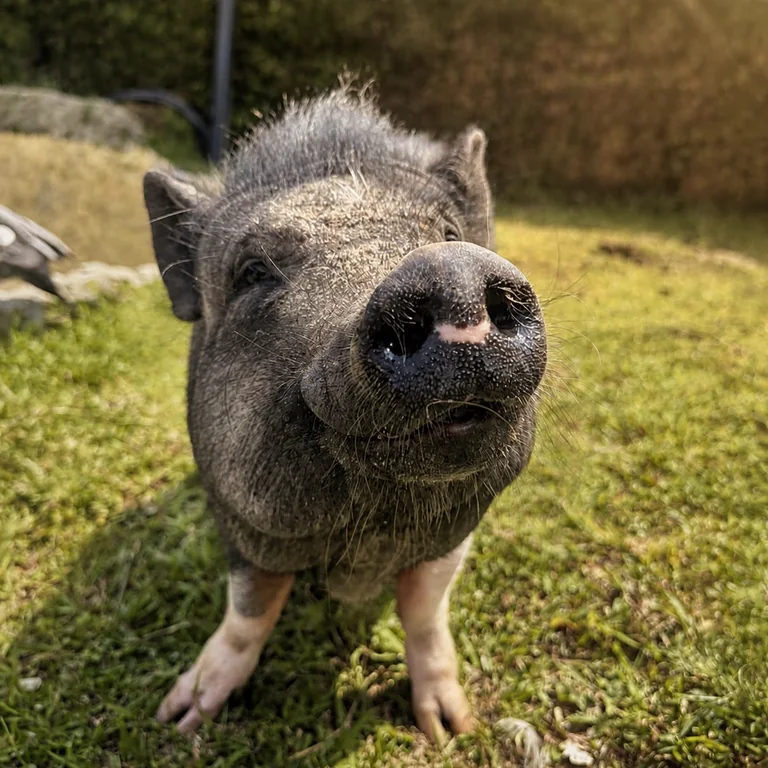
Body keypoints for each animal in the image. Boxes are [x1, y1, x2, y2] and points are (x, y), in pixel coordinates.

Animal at [143, 87, 547, 742]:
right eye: (252, 272)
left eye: (450, 231)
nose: (451, 271)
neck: (371, 529)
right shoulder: (241, 522)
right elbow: (251, 609)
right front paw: (179, 718)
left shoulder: (457, 529)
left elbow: (425, 610)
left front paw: (452, 729)